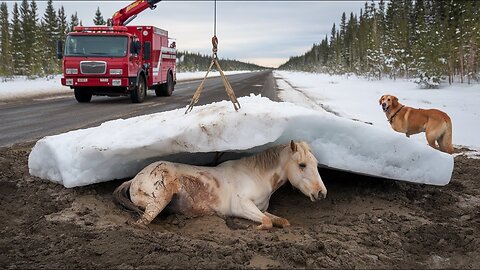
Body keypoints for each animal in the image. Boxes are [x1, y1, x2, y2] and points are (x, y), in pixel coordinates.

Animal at [113, 140, 326, 229]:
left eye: (316, 164)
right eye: (302, 165)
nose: (321, 193)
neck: (255, 175)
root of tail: (135, 179)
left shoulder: (261, 209)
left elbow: (281, 221)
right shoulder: (242, 206)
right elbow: (266, 223)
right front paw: (252, 228)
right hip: (160, 199)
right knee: (141, 223)